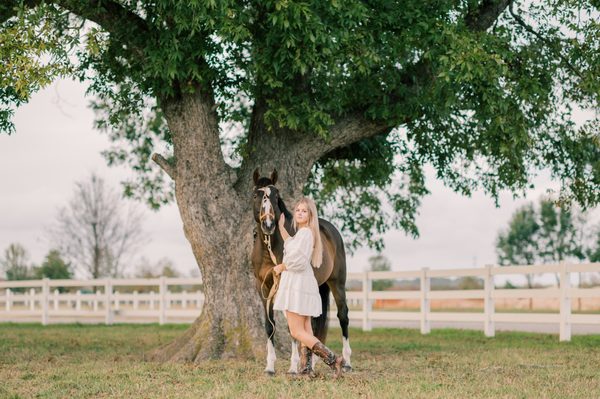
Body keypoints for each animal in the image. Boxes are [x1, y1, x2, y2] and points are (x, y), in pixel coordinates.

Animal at [252, 169, 354, 376]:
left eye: (276, 196)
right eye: (256, 195)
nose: (269, 224)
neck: (269, 248)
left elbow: (292, 327)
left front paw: (292, 367)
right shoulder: (263, 287)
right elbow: (269, 325)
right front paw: (270, 366)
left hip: (337, 283)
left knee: (343, 316)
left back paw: (346, 362)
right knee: (314, 323)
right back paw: (312, 364)